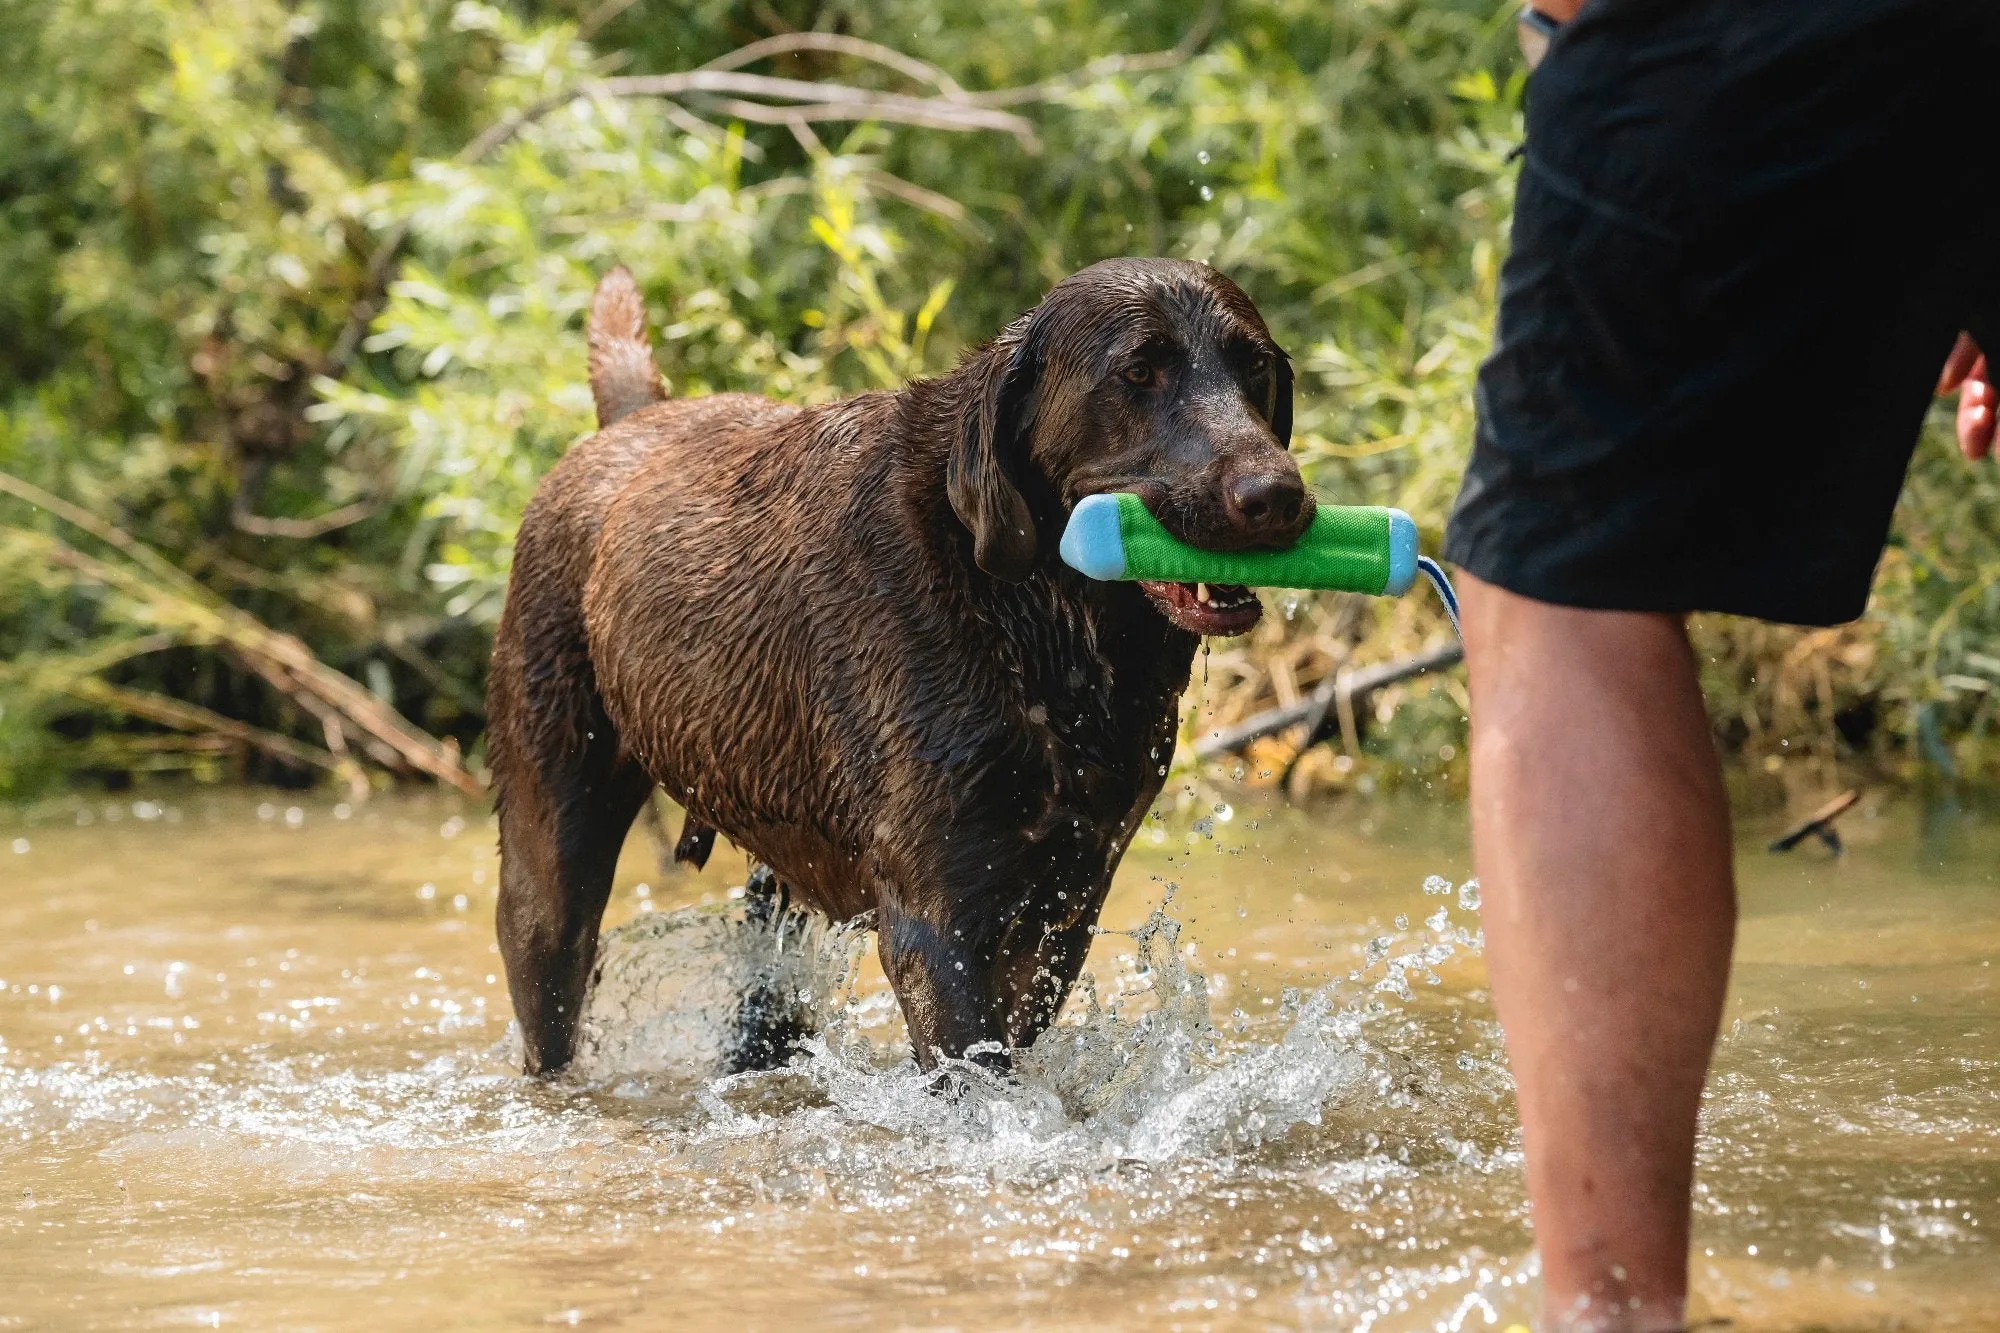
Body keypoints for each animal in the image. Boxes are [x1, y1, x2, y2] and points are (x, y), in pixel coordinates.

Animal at [488, 256, 1312, 1072]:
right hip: (552, 854)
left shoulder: (1066, 901)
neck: (1032, 619)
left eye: (1256, 366)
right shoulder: (936, 923)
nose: (1276, 495)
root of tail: (629, 421)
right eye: (1139, 371)